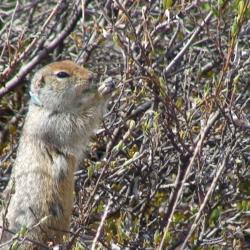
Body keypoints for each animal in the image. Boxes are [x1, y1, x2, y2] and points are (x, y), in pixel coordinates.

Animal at [0, 60, 114, 248]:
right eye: (62, 74)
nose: (92, 76)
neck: (44, 106)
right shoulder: (53, 124)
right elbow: (80, 124)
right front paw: (102, 91)